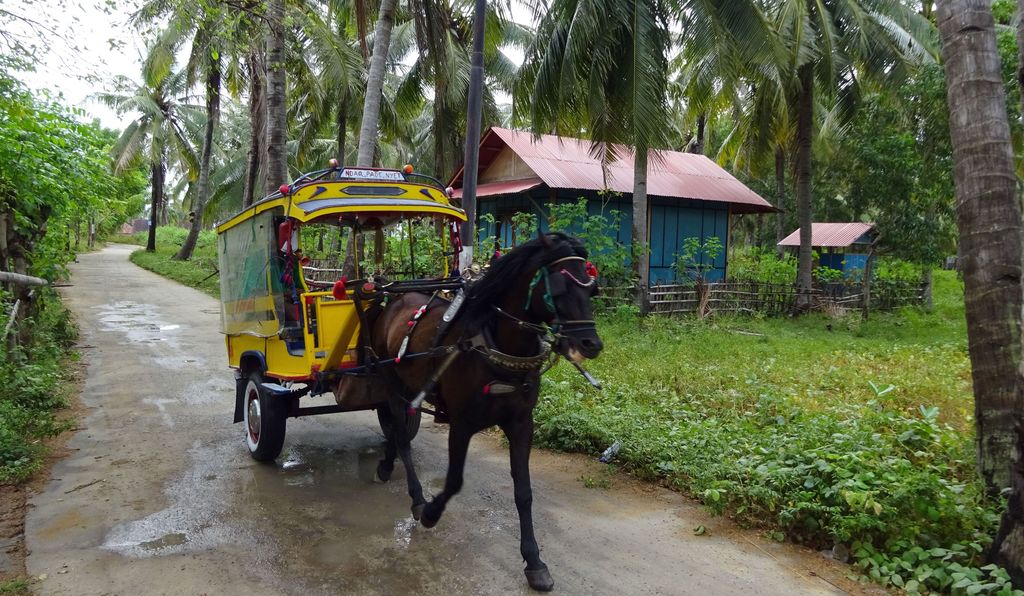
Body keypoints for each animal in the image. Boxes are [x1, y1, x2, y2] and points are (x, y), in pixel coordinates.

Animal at [372, 233, 602, 593]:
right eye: (560, 288)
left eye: (592, 290)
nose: (591, 344)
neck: (496, 348)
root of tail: (393, 298)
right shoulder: (461, 424)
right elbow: (454, 481)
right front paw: (431, 513)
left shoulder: (522, 424)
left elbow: (524, 492)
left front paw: (534, 562)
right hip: (391, 382)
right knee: (402, 436)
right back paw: (416, 496)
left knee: (397, 431)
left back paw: (386, 464)